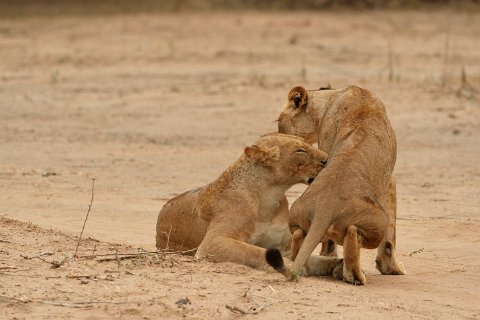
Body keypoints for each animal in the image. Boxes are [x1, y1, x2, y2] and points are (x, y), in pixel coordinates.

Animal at [158, 134, 342, 274]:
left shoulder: (284, 245)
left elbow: (308, 256)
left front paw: (337, 264)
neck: (269, 197)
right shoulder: (212, 243)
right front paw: (290, 266)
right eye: (299, 150)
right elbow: (254, 251)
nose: (327, 159)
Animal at [266, 85, 404, 284]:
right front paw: (391, 268)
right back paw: (353, 274)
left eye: (279, 120)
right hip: (378, 221)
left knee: (298, 239)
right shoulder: (389, 181)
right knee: (353, 234)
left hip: (297, 213)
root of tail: (325, 207)